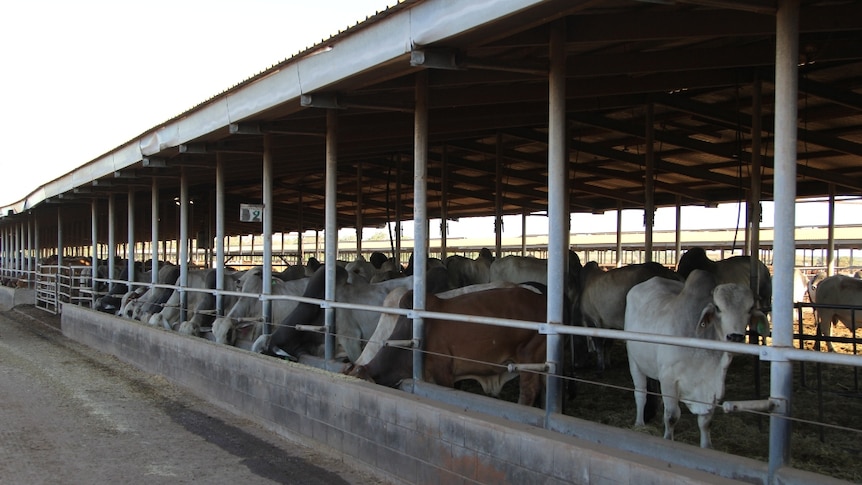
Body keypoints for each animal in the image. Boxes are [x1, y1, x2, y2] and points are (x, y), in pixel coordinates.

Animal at [624, 268, 768, 446]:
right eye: (718, 308)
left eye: (749, 309)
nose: (735, 337)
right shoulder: (668, 379)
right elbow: (672, 416)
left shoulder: (711, 389)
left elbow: (705, 422)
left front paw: (706, 446)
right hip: (634, 361)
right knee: (640, 393)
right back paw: (639, 423)